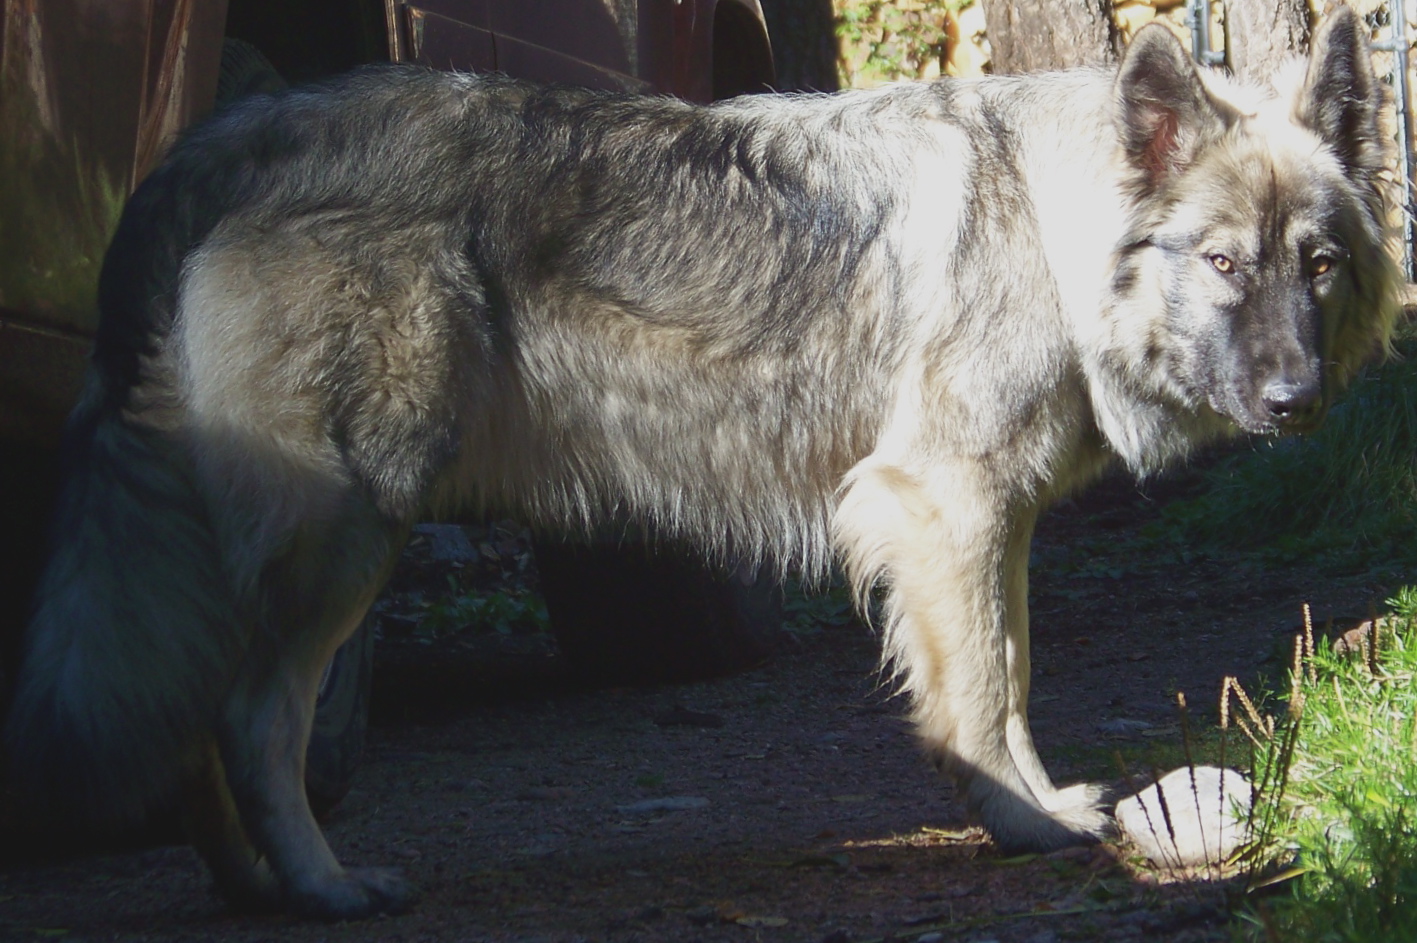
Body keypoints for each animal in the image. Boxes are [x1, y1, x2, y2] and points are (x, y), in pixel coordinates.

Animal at [2, 7, 1394, 918]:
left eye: (1318, 265)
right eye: (1224, 264)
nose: (1297, 400)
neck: (1056, 230)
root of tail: (226, 133)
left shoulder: (988, 523)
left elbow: (1006, 680)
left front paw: (1043, 809)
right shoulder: (946, 507)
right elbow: (984, 697)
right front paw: (1024, 823)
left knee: (200, 713)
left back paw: (249, 888)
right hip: (355, 528)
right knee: (255, 717)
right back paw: (323, 885)